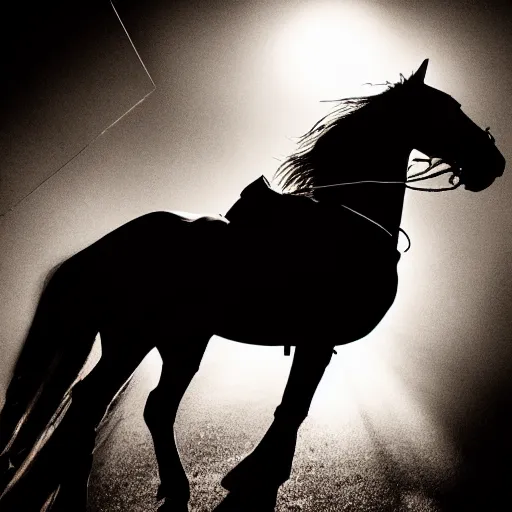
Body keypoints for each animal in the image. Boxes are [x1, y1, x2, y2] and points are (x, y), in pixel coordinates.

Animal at [0, 59, 504, 508]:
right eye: (447, 109)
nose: (494, 161)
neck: (348, 221)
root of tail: (106, 245)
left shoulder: (316, 342)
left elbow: (293, 405)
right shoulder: (318, 339)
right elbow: (294, 405)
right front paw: (261, 472)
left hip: (175, 342)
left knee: (148, 407)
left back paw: (171, 486)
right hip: (138, 339)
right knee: (94, 401)